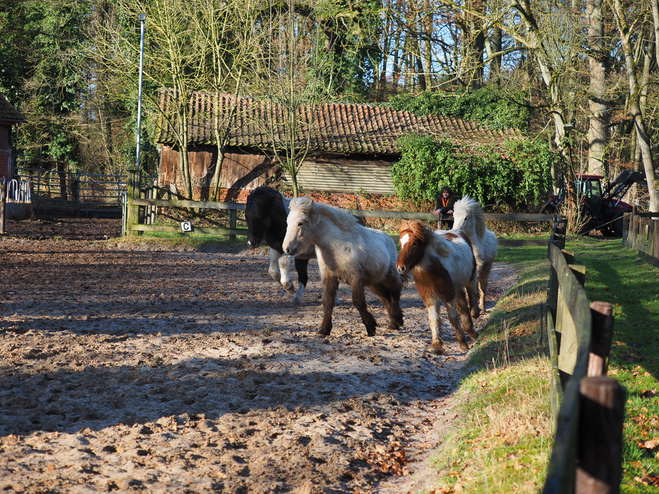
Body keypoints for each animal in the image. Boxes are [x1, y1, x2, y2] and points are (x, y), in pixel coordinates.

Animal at [282, 196, 404, 336]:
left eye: (300, 223)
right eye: (287, 222)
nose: (287, 249)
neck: (336, 246)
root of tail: (389, 239)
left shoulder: (355, 279)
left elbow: (359, 302)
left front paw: (370, 327)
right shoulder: (329, 278)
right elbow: (328, 302)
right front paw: (324, 329)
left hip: (390, 275)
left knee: (395, 291)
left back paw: (397, 320)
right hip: (374, 282)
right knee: (386, 298)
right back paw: (393, 323)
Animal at [398, 220, 480, 356]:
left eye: (414, 243)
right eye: (400, 242)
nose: (400, 268)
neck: (433, 271)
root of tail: (458, 231)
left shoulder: (449, 295)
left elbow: (453, 318)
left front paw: (463, 344)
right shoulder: (429, 298)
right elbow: (434, 319)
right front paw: (436, 345)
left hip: (470, 278)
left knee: (472, 294)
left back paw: (475, 315)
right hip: (457, 288)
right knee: (463, 307)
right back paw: (470, 330)